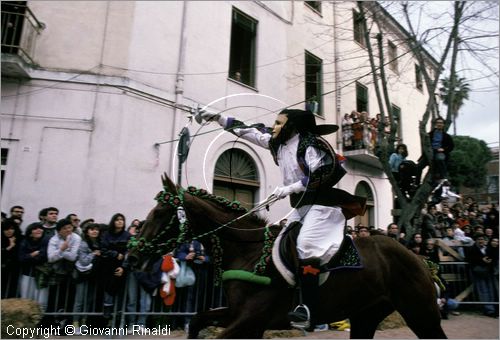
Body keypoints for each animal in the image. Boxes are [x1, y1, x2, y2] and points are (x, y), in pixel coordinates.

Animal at [129, 174, 446, 338]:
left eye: (161, 213)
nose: (131, 257)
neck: (249, 251)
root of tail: (419, 257)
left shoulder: (250, 320)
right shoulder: (237, 314)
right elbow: (196, 320)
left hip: (421, 313)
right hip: (366, 315)